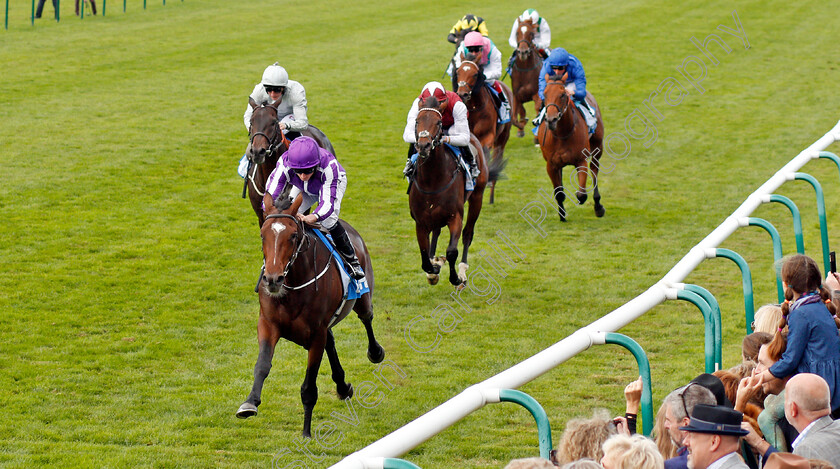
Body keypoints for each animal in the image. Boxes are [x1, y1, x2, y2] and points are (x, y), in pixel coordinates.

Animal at [233, 186, 384, 436]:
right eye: (263, 235)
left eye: (293, 236)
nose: (273, 279)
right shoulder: (268, 324)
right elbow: (262, 365)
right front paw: (249, 403)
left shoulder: (316, 334)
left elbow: (309, 386)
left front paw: (306, 432)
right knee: (332, 342)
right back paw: (342, 386)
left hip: (362, 298)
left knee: (367, 319)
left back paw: (375, 352)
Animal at [410, 96, 502, 286]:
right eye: (417, 121)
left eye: (438, 122)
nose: (423, 146)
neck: (432, 181)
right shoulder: (420, 221)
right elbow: (424, 258)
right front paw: (434, 267)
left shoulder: (455, 216)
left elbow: (452, 250)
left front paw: (456, 277)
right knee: (436, 231)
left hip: (477, 197)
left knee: (468, 234)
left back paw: (462, 270)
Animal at [460, 59, 512, 203]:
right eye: (458, 71)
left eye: (474, 74)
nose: (462, 94)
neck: (474, 108)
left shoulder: (487, 136)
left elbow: (485, 151)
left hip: (503, 138)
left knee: (497, 155)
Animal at [540, 72, 604, 220]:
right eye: (545, 94)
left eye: (563, 94)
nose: (551, 120)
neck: (562, 134)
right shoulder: (551, 165)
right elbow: (559, 193)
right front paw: (562, 215)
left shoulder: (581, 160)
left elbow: (581, 195)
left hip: (598, 146)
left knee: (594, 169)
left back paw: (598, 206)